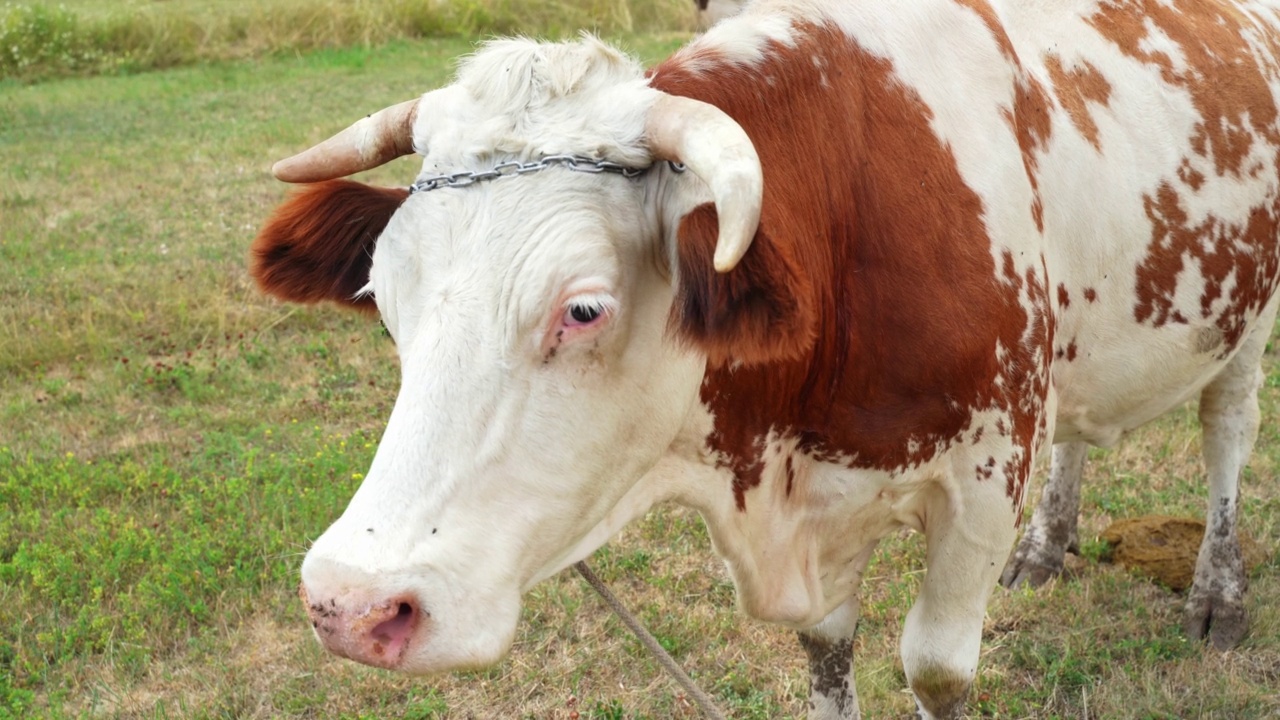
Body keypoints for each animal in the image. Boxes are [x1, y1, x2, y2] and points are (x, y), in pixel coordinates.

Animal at [247, 2, 1280, 712]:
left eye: (583, 309)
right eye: (385, 302)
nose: (349, 604)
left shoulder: (986, 477)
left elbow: (938, 671)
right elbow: (827, 656)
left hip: (1247, 319)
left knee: (1226, 430)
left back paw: (1218, 594)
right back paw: (1049, 546)